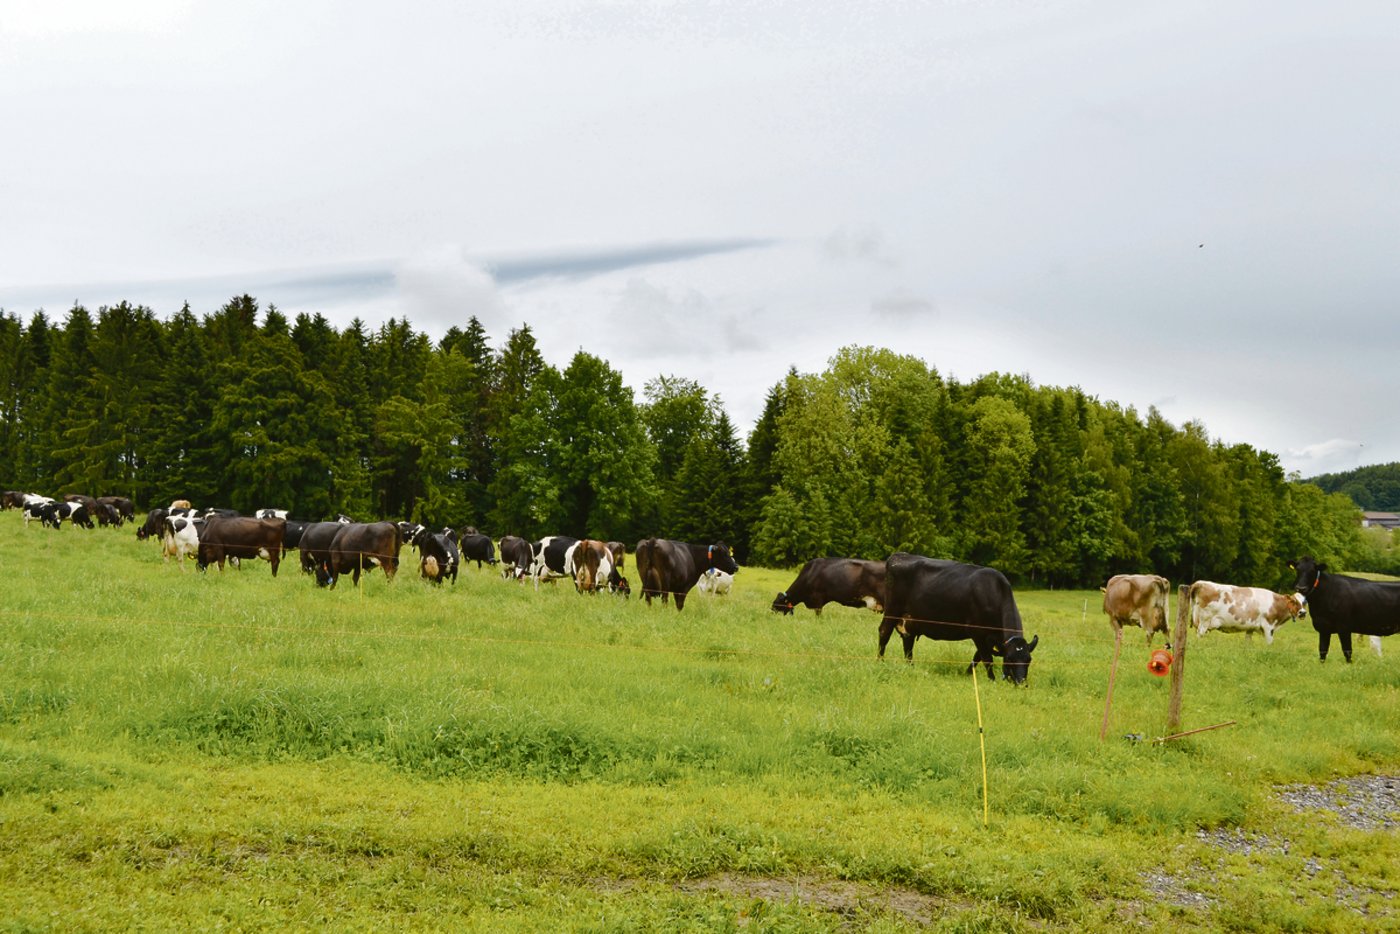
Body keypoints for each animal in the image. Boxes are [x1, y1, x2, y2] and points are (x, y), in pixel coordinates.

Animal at [879, 552, 1039, 683]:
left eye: (1029, 660)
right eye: (1009, 659)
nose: (1021, 683)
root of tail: (899, 555)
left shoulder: (989, 638)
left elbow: (977, 657)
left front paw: (967, 674)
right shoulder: (977, 633)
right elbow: (987, 658)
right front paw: (992, 679)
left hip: (910, 621)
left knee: (908, 643)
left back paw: (911, 667)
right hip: (892, 609)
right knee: (884, 632)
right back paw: (880, 660)